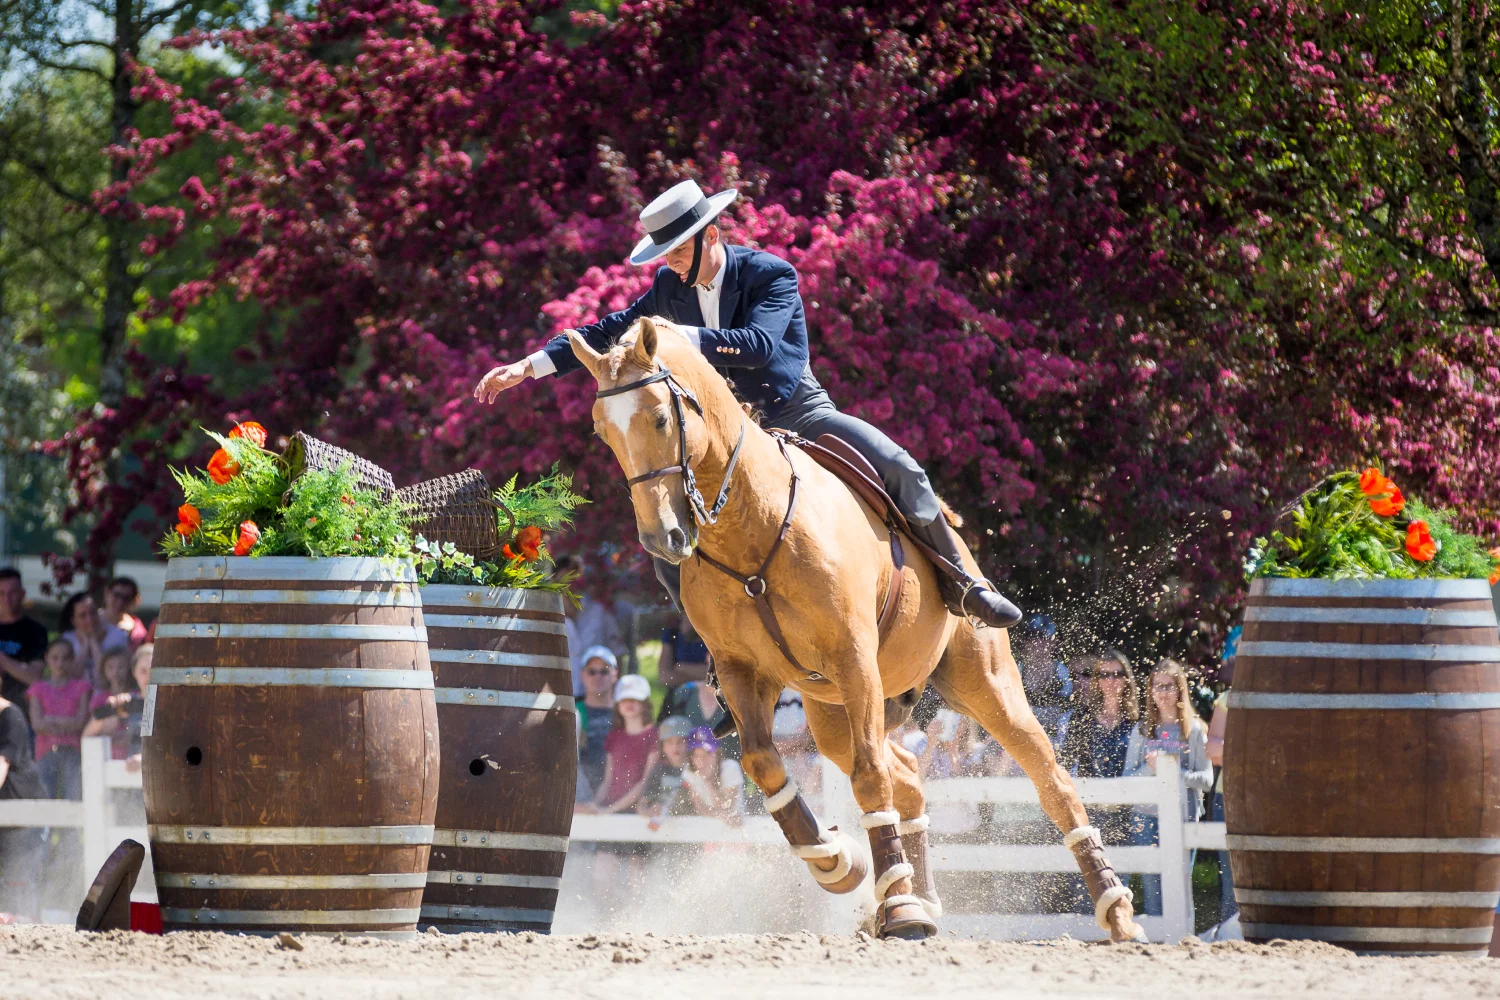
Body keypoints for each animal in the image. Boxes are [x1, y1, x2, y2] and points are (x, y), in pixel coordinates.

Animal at [567, 316, 1140, 941]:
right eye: (603, 432)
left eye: (660, 418)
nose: (661, 537)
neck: (751, 524)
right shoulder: (745, 672)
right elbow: (765, 763)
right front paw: (836, 862)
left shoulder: (853, 659)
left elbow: (869, 777)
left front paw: (899, 907)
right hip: (830, 713)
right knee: (908, 777)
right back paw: (914, 894)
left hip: (982, 684)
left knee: (1049, 779)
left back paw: (1112, 906)